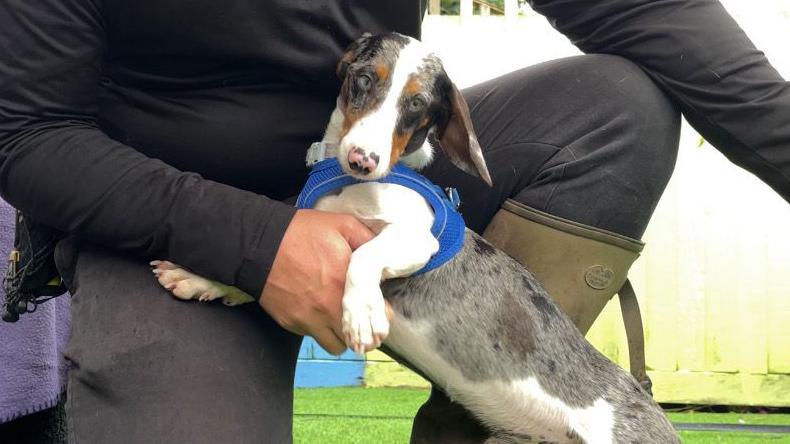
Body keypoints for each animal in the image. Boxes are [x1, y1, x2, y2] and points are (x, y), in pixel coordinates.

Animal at [150, 32, 680, 444]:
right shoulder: (304, 233)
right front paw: (197, 278)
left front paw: (361, 312)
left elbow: (364, 254)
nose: (363, 160)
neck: (350, 185)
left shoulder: (417, 239)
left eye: (418, 105)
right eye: (365, 80)